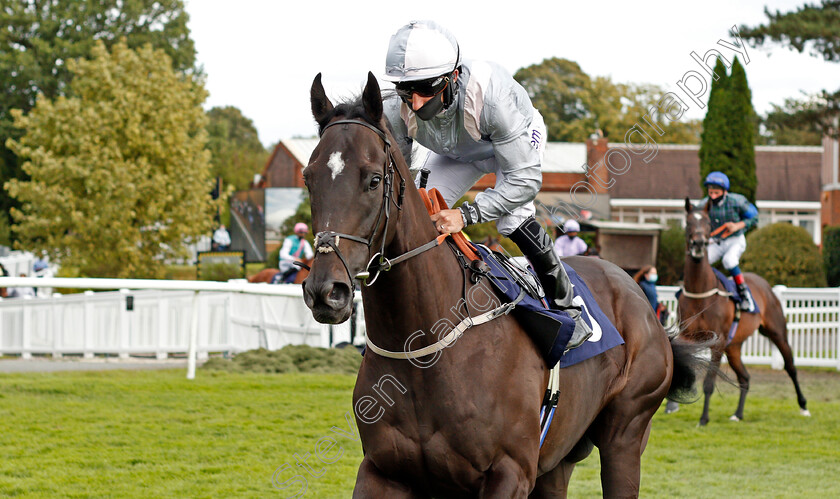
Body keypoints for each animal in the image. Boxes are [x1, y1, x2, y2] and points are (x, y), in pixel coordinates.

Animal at [304, 72, 708, 498]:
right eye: (308, 179)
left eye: (373, 179)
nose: (326, 291)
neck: (422, 348)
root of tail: (636, 294)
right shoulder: (383, 471)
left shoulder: (510, 472)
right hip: (557, 462)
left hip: (625, 435)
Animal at [680, 199, 804, 426]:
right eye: (688, 222)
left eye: (708, 223)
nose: (699, 244)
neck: (700, 292)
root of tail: (764, 284)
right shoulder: (688, 337)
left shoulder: (718, 342)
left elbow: (709, 382)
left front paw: (703, 418)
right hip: (734, 347)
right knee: (745, 377)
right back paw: (737, 413)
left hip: (777, 332)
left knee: (790, 367)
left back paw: (803, 406)